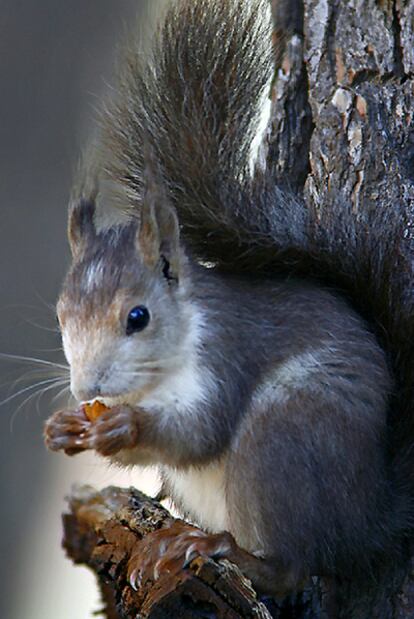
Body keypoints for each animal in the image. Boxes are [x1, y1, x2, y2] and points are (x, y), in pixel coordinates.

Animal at [42, 0, 414, 600]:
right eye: (62, 319)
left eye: (138, 317)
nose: (87, 388)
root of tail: (367, 519)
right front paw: (63, 426)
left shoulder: (227, 355)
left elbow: (201, 433)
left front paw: (126, 427)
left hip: (281, 442)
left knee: (290, 566)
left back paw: (212, 546)